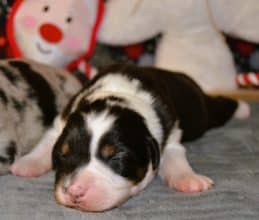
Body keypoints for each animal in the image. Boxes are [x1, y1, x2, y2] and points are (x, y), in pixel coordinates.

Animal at [10, 64, 252, 211]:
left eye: (116, 157)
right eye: (63, 154)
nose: (74, 191)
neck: (119, 94)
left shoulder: (171, 135)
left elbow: (175, 158)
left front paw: (189, 180)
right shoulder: (61, 121)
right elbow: (46, 141)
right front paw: (27, 163)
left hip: (198, 110)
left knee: (217, 106)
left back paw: (243, 108)